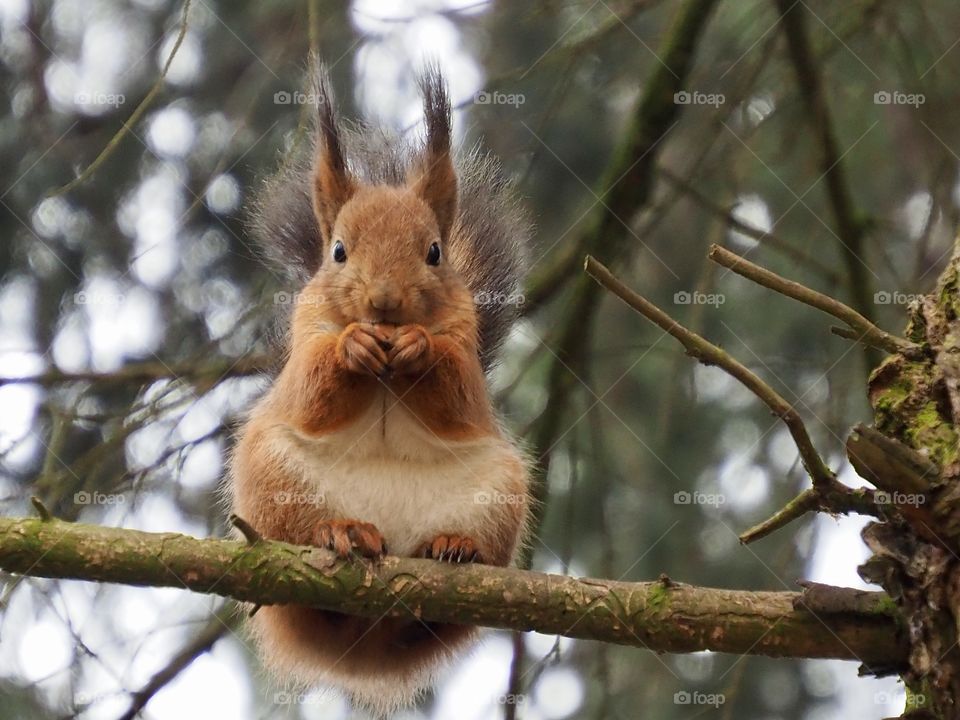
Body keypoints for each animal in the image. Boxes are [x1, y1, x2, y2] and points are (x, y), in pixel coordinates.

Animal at [227, 65, 533, 716]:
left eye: (434, 252)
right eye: (338, 251)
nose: (385, 303)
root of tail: (364, 648)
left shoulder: (466, 350)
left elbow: (457, 395)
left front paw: (419, 348)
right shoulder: (306, 341)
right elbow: (311, 395)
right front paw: (353, 348)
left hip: (499, 494)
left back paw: (451, 547)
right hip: (273, 479)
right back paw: (343, 533)